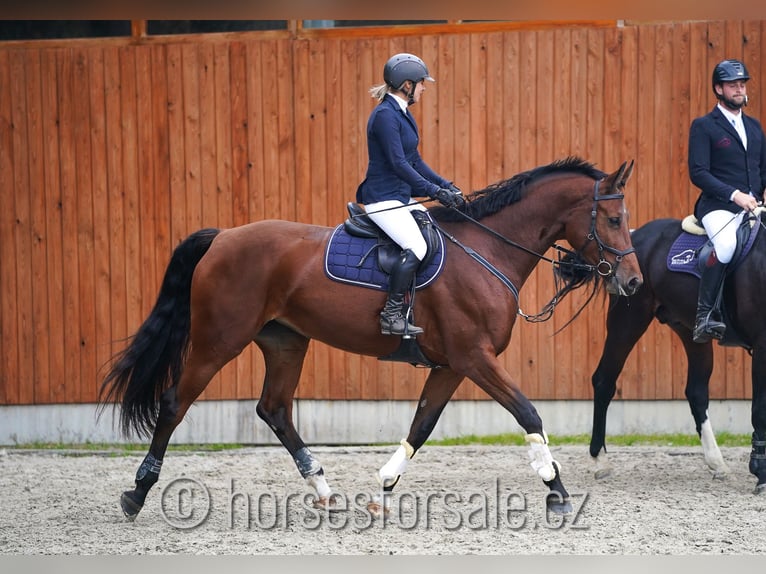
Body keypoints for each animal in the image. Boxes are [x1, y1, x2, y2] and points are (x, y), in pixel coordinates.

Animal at [100, 156, 640, 520]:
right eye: (614, 220)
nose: (633, 283)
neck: (487, 249)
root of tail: (224, 237)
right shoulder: (475, 357)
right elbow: (528, 413)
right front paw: (557, 489)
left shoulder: (453, 364)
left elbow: (422, 424)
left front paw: (384, 483)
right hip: (219, 340)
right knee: (175, 403)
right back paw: (136, 494)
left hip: (285, 342)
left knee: (275, 409)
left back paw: (325, 492)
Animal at [588, 214, 766, 492]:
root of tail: (634, 235)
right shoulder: (761, 345)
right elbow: (759, 409)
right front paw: (760, 473)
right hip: (627, 319)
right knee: (604, 381)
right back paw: (600, 462)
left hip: (690, 331)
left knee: (696, 392)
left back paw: (718, 464)